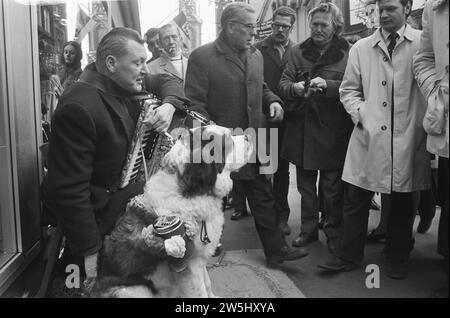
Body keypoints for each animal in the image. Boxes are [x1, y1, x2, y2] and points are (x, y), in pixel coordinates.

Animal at [89, 125, 253, 298]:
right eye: (228, 141)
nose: (249, 136)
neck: (190, 191)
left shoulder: (199, 259)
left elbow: (207, 283)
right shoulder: (190, 264)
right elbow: (201, 290)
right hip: (133, 291)